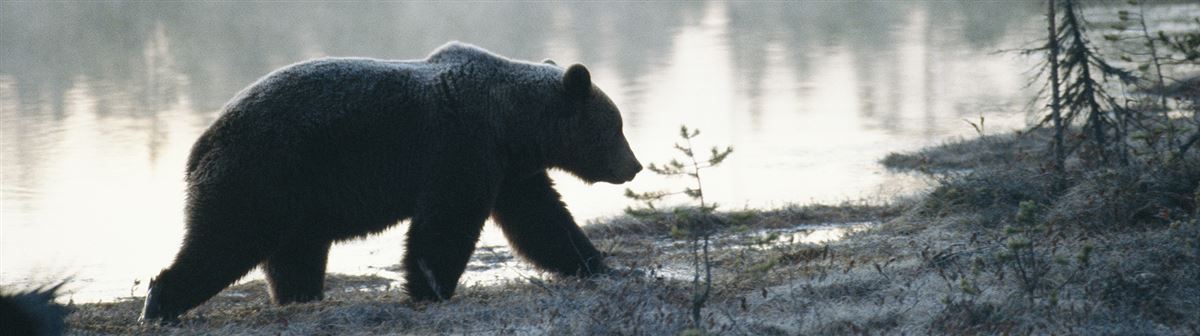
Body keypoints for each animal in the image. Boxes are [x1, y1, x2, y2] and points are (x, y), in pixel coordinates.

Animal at [139, 42, 643, 324]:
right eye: (616, 127)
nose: (634, 166)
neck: (512, 124)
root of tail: (203, 139)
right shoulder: (459, 148)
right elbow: (445, 225)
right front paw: (430, 288)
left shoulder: (510, 171)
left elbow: (544, 222)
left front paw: (596, 262)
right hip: (261, 173)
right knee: (223, 241)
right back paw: (161, 303)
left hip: (298, 198)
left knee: (293, 255)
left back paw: (299, 298)